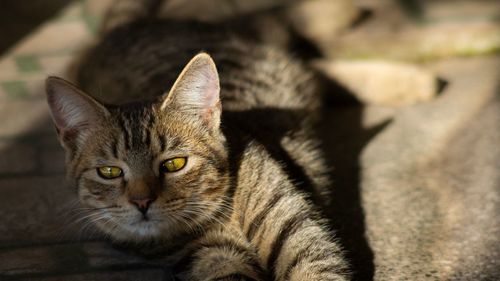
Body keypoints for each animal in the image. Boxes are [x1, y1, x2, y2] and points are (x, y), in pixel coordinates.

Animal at [47, 18, 352, 278]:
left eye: (174, 164)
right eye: (109, 172)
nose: (142, 202)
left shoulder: (291, 223)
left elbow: (317, 265)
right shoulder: (210, 254)